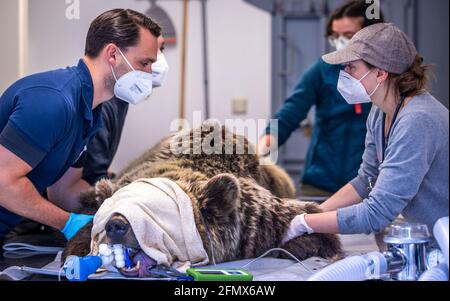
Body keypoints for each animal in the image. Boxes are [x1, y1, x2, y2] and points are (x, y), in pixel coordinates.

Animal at [63, 120, 342, 276]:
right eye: (111, 209)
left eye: (152, 212)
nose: (116, 226)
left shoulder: (256, 220)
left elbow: (310, 223)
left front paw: (297, 244)